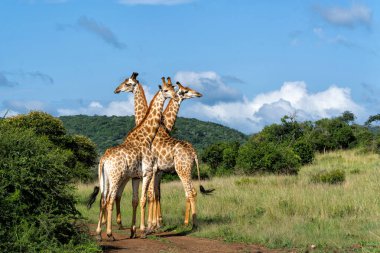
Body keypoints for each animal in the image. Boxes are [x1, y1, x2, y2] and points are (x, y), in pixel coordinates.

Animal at [87, 77, 175, 241]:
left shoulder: (135, 176)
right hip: (116, 177)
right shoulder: (147, 173)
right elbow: (143, 199)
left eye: (173, 88)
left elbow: (134, 200)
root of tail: (103, 160)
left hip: (104, 178)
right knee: (110, 199)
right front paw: (143, 231)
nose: (176, 96)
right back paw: (110, 234)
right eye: (166, 90)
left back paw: (99, 234)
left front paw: (133, 231)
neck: (147, 138)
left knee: (103, 199)